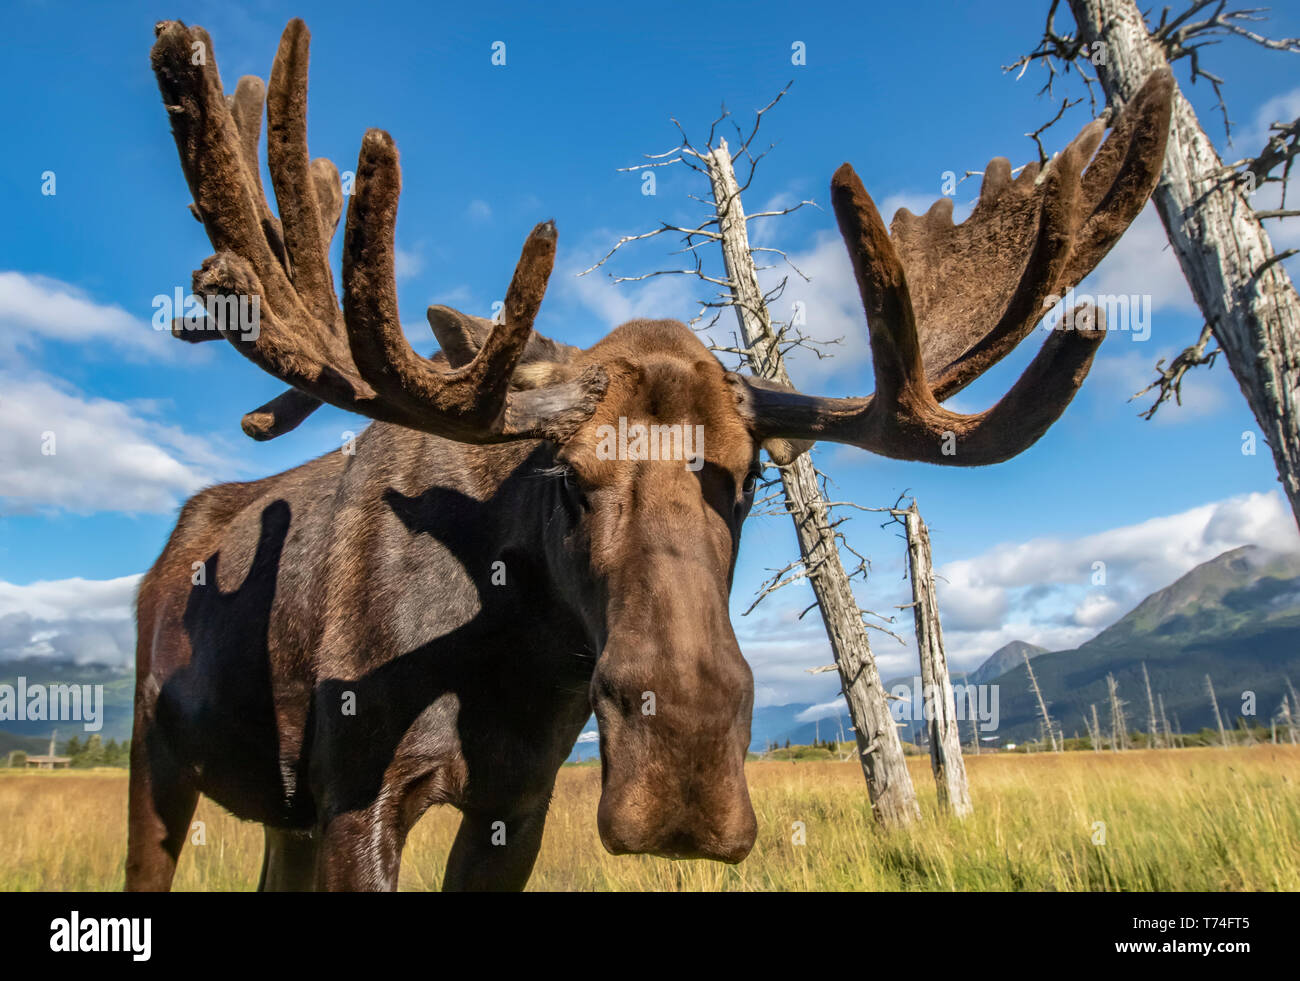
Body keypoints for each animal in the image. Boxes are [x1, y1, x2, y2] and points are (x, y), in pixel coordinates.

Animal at [128, 18, 1172, 890]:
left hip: (284, 816)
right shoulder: (357, 796)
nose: (686, 767)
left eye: (748, 481)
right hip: (160, 763)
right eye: (567, 477)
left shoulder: (517, 803)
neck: (509, 657)